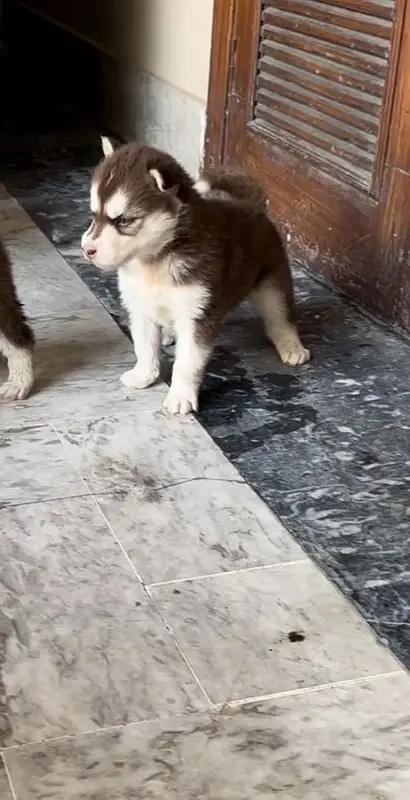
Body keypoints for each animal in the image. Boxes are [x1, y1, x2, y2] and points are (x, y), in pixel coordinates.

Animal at [81, 139, 310, 412]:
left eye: (124, 220)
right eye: (94, 215)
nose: (86, 249)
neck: (156, 260)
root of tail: (253, 206)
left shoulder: (197, 315)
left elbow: (186, 363)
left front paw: (180, 397)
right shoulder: (139, 306)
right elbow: (144, 346)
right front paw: (144, 375)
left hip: (273, 281)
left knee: (281, 316)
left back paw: (292, 345)